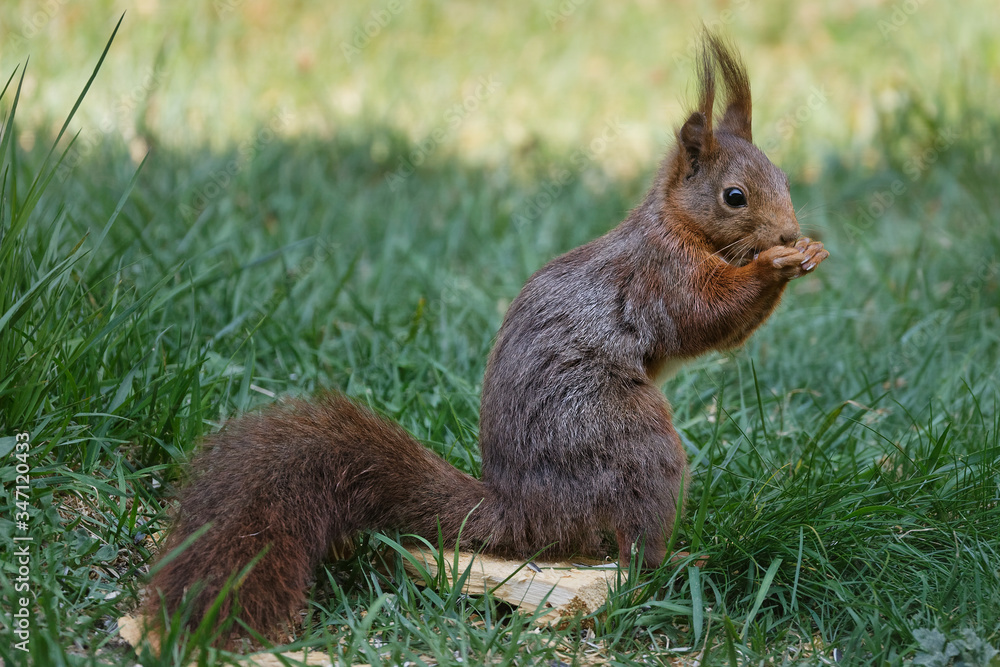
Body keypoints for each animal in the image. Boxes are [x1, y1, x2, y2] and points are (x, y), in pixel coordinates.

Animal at [141, 32, 828, 640]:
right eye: (734, 196)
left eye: (786, 179)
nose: (789, 231)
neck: (676, 225)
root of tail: (525, 513)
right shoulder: (662, 276)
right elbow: (707, 318)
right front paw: (773, 266)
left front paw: (808, 251)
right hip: (633, 446)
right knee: (633, 550)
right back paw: (681, 560)